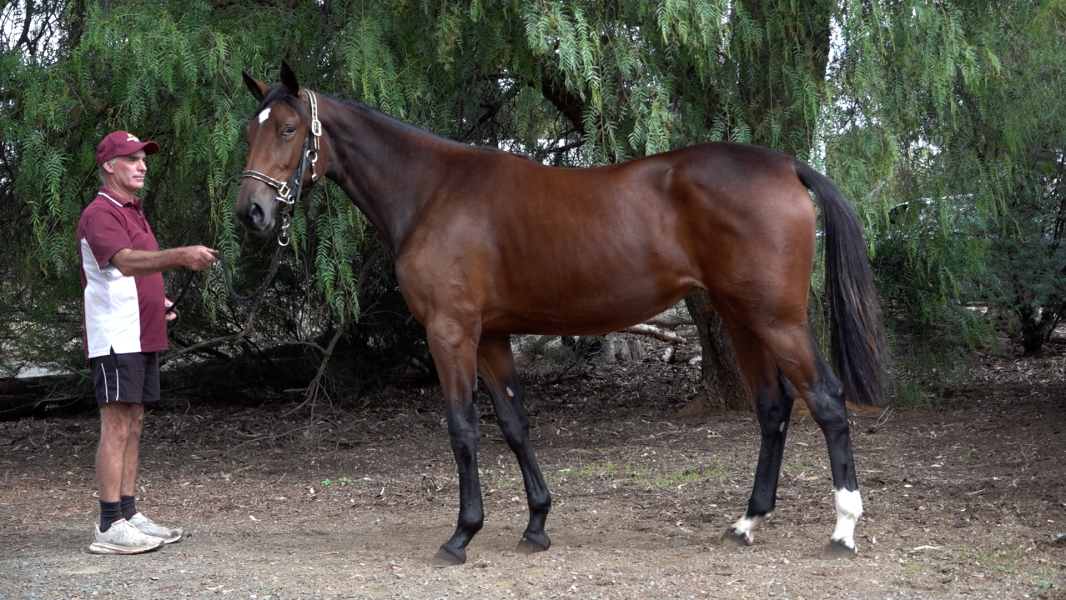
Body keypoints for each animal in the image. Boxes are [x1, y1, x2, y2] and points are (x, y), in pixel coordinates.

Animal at [237, 65, 886, 566]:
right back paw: (746, 523)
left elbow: (463, 428)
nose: (252, 212)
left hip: (777, 319)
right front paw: (536, 525)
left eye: (290, 129)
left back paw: (843, 530)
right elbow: (514, 425)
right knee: (774, 408)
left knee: (827, 402)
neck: (433, 192)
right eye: (250, 129)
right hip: (739, 316)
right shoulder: (492, 338)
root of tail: (785, 166)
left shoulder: (451, 332)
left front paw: (461, 536)